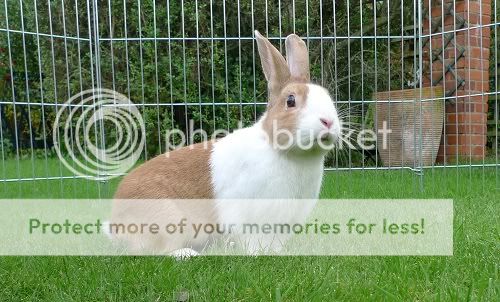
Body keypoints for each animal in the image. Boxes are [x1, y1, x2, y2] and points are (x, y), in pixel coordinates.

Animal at [111, 30, 342, 255]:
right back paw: (186, 254)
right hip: (167, 222)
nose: (328, 121)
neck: (283, 152)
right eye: (291, 100)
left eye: (327, 96)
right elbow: (253, 241)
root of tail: (114, 223)